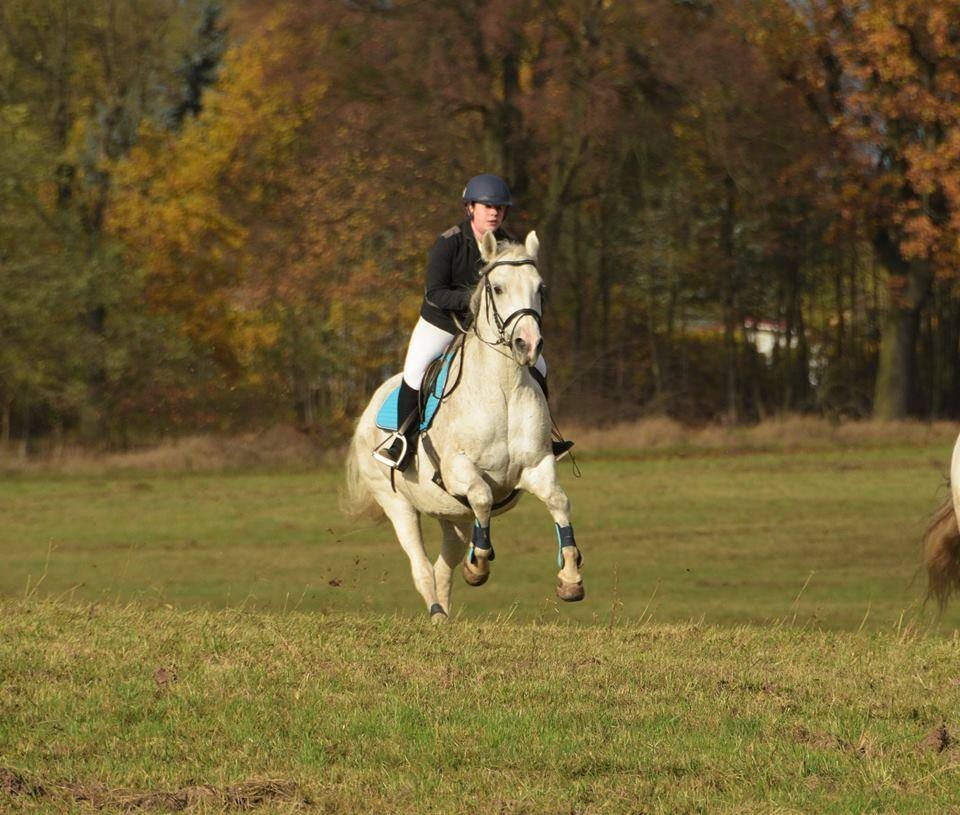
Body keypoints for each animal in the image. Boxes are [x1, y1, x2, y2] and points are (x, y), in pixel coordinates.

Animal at [341, 229, 585, 621]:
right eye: (497, 288)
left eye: (540, 288)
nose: (528, 345)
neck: (502, 389)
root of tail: (368, 408)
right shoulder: (459, 470)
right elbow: (484, 497)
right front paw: (479, 565)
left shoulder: (536, 466)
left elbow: (559, 501)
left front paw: (570, 579)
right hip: (397, 504)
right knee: (422, 567)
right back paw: (437, 613)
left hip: (451, 514)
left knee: (443, 566)